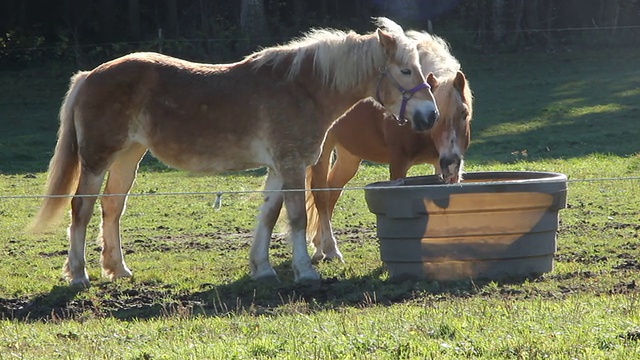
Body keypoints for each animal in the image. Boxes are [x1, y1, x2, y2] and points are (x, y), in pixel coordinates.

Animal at [30, 18, 440, 286]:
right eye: (406, 71)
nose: (430, 115)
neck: (302, 88)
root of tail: (89, 75)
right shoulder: (292, 165)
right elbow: (295, 218)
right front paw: (306, 271)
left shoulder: (279, 168)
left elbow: (268, 216)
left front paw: (263, 268)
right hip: (97, 159)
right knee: (81, 209)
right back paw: (78, 275)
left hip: (128, 157)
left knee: (112, 208)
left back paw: (118, 269)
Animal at [308, 30, 472, 262]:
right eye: (438, 117)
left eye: (464, 113)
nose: (451, 163)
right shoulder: (398, 164)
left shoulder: (438, 164)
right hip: (322, 153)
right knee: (320, 195)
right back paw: (326, 250)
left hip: (349, 158)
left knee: (332, 190)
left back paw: (321, 244)